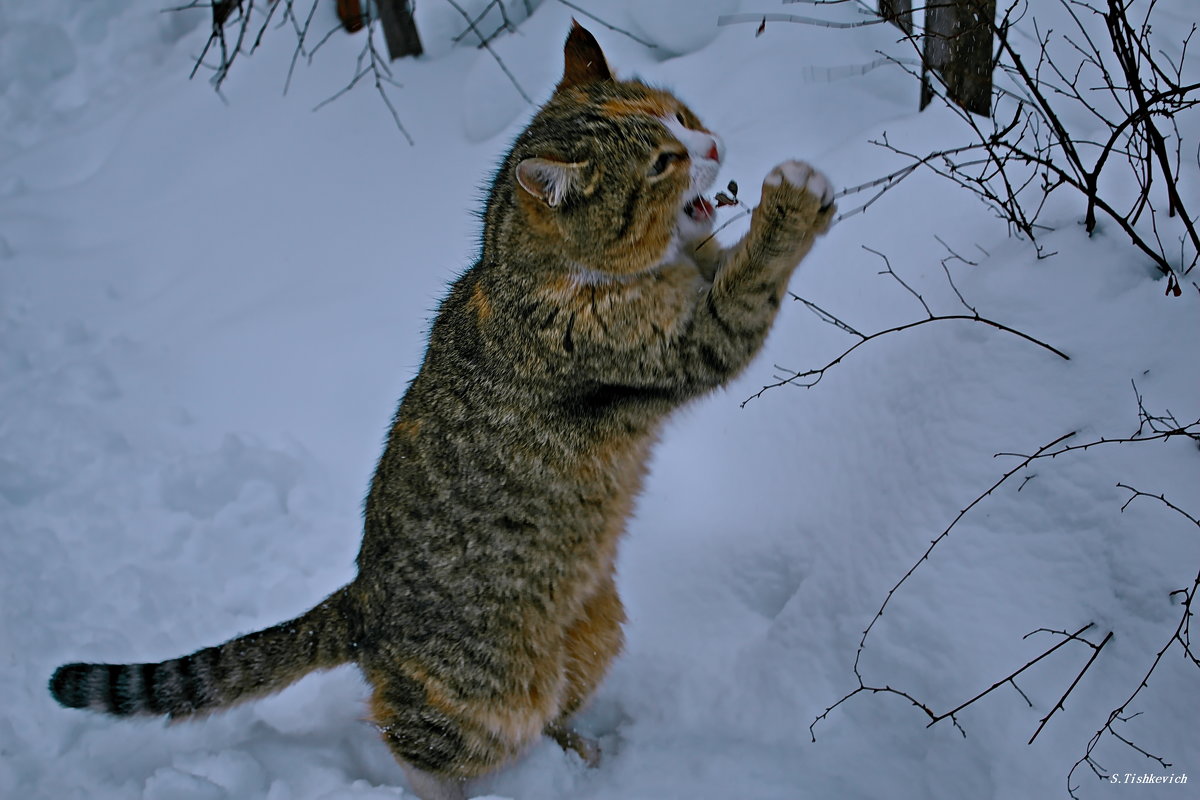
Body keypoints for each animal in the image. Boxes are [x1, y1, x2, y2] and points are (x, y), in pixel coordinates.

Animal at [49, 18, 835, 800]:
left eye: (682, 116)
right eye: (662, 163)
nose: (713, 147)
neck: (541, 270)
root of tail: (361, 601)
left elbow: (726, 262)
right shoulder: (683, 345)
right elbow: (745, 286)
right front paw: (791, 203)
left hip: (595, 627)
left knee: (556, 706)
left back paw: (581, 754)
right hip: (492, 696)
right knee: (420, 741)